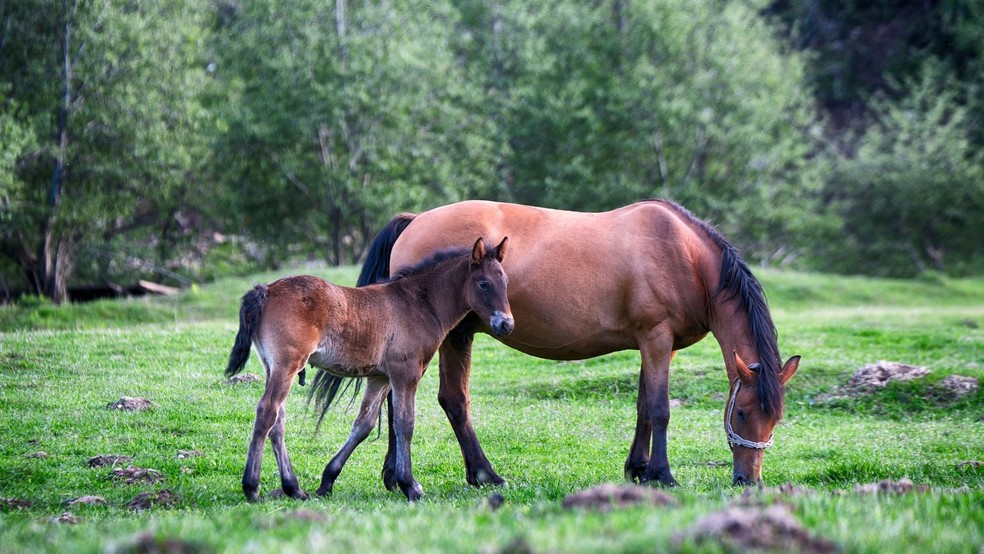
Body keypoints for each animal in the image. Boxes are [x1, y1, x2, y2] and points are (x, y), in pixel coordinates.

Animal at [226, 235, 512, 498]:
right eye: (483, 283)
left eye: (506, 282)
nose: (506, 324)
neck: (418, 303)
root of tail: (265, 290)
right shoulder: (406, 372)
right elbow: (404, 424)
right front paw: (410, 485)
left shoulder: (380, 378)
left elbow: (364, 425)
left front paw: (327, 481)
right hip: (288, 364)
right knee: (267, 411)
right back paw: (251, 487)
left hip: (272, 367)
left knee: (278, 421)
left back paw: (293, 488)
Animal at [356, 201, 800, 486]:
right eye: (741, 413)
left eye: (775, 418)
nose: (748, 480)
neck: (685, 256)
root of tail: (415, 220)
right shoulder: (656, 337)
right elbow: (660, 409)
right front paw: (663, 474)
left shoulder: (656, 344)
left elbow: (643, 406)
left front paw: (638, 470)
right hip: (456, 337)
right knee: (450, 401)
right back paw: (483, 475)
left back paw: (395, 477)